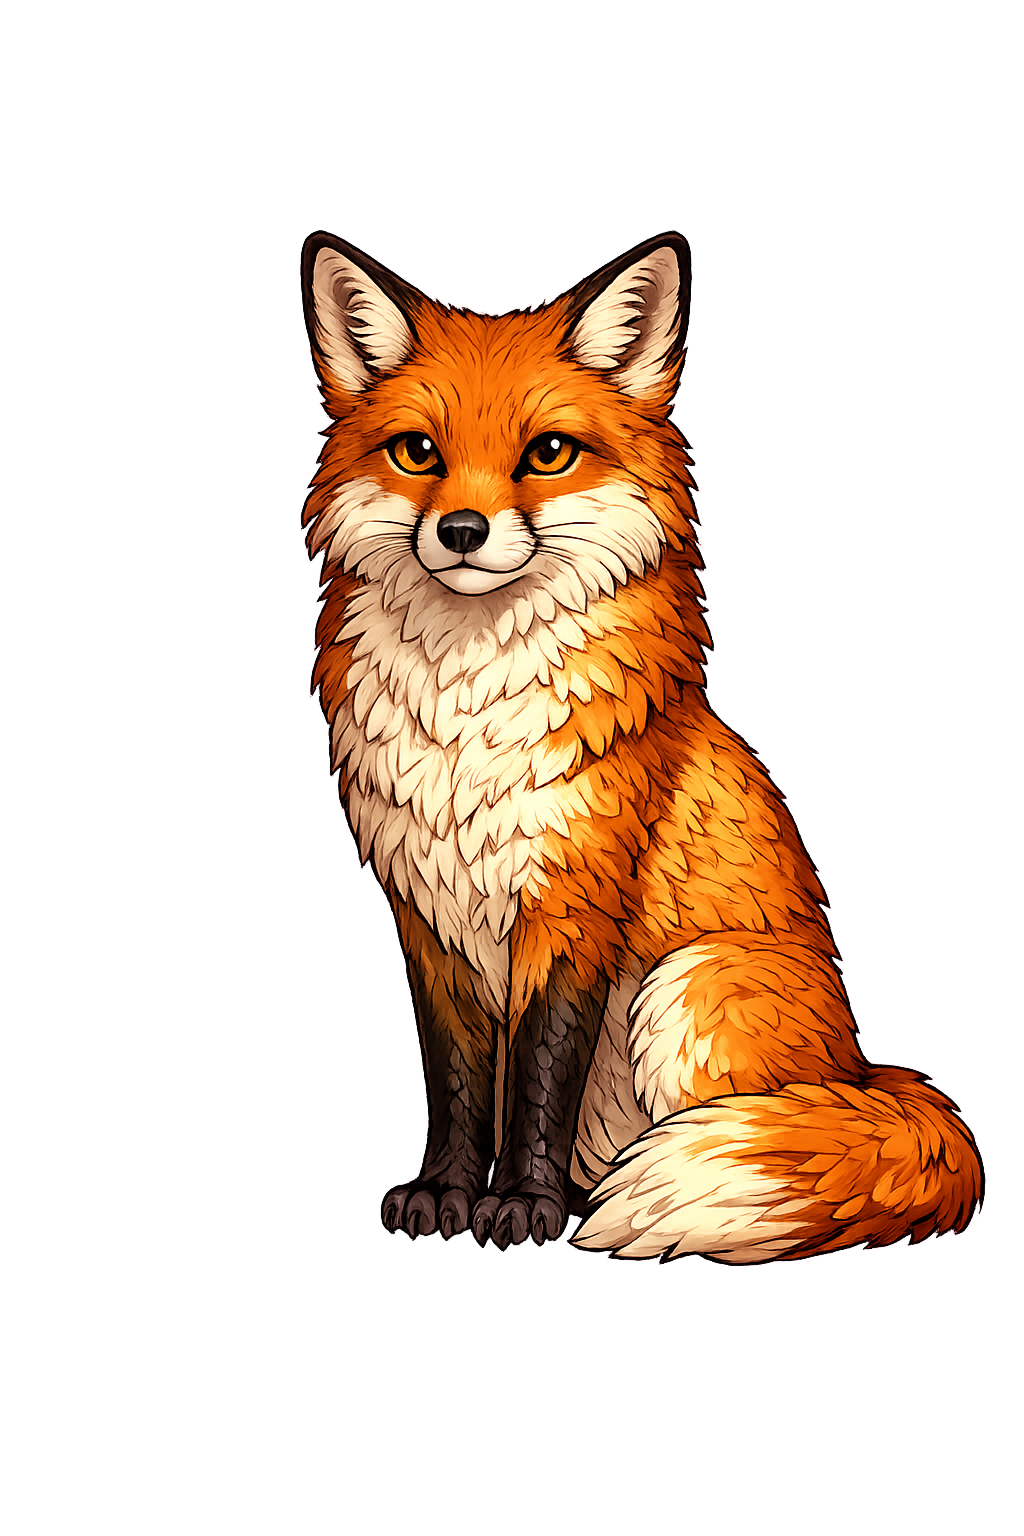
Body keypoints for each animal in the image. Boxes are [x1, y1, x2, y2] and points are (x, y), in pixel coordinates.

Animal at [298, 226, 985, 1263]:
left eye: (547, 454)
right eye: (418, 453)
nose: (460, 531)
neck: (466, 716)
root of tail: (867, 1074)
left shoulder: (575, 895)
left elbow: (540, 1073)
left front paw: (525, 1209)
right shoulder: (427, 911)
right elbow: (459, 1078)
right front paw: (446, 1194)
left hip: (685, 986)